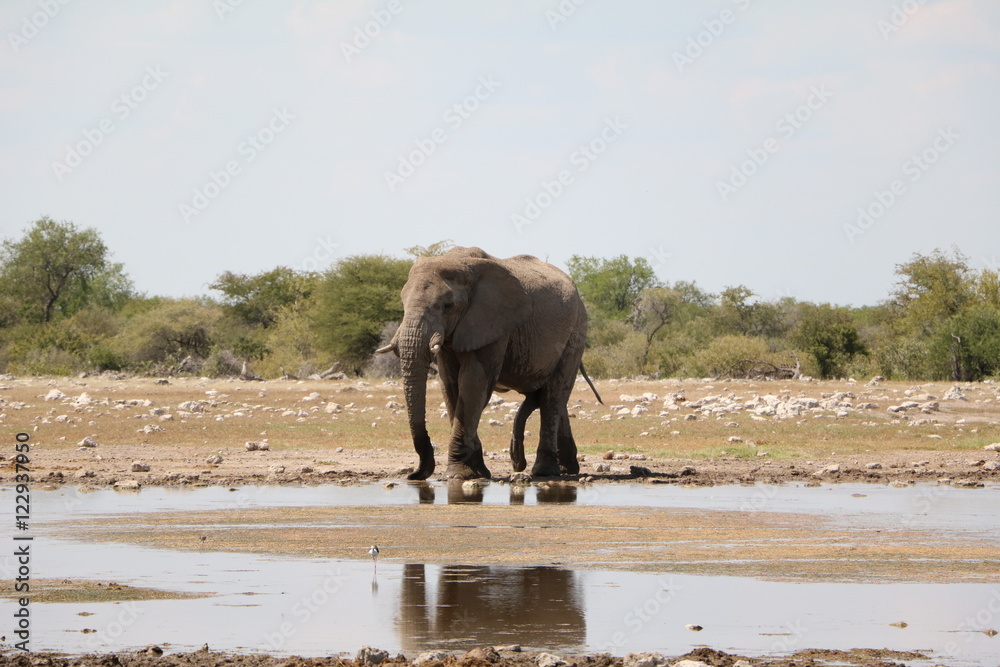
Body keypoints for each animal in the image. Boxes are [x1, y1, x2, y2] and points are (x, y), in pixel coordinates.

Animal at [377, 246, 600, 480]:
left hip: (576, 330)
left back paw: (545, 472)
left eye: (448, 305)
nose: (415, 474)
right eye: (402, 303)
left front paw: (460, 474)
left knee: (553, 395)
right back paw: (566, 469)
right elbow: (450, 385)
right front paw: (478, 470)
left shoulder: (493, 323)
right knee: (555, 396)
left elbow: (473, 383)